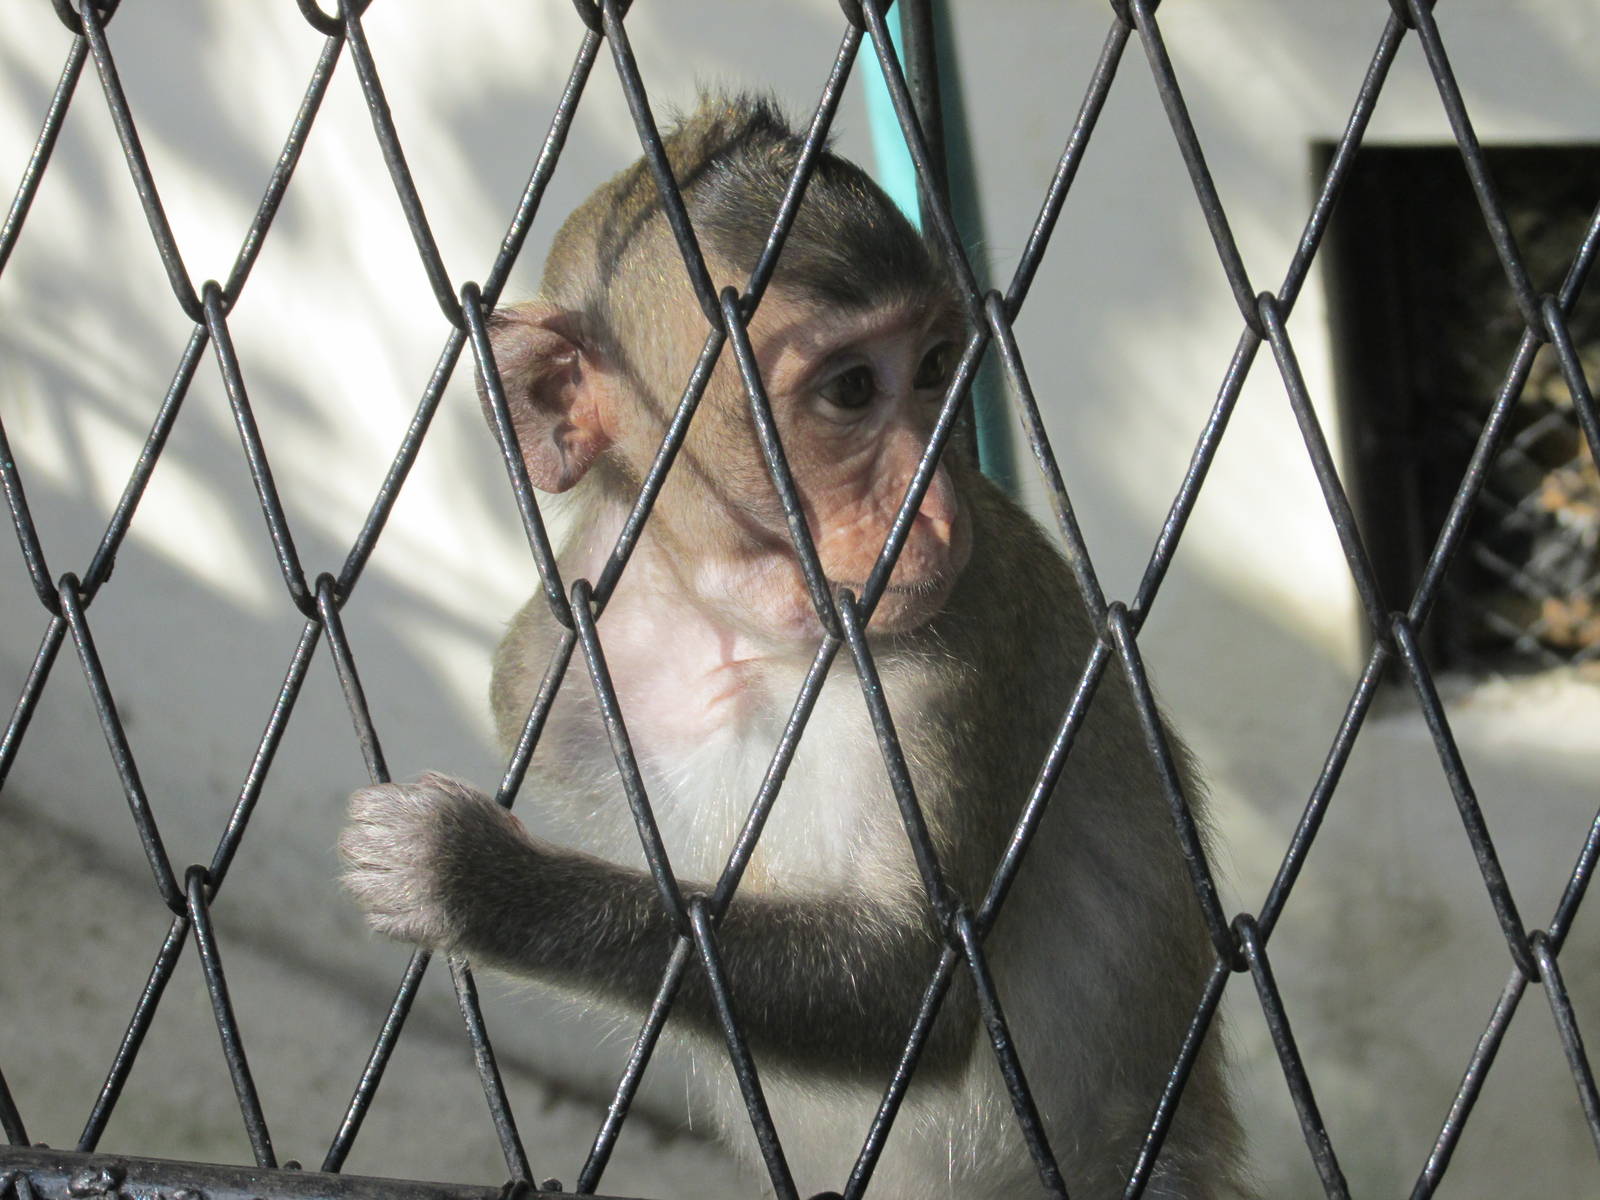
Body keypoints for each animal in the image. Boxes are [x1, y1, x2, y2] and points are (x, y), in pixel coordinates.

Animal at [340, 95, 1247, 1200]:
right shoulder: (537, 663)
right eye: (853, 389)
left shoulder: (955, 644)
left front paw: (475, 882)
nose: (936, 512)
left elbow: (919, 981)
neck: (734, 631)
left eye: (936, 370)